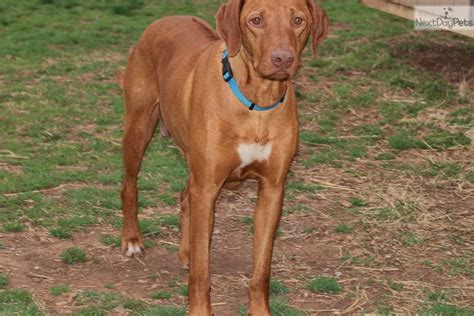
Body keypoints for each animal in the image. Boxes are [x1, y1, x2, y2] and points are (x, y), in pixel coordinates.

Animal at [118, 0, 328, 314]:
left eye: (298, 20)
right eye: (256, 20)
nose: (282, 58)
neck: (257, 100)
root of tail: (166, 19)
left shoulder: (272, 189)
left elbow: (261, 270)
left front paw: (260, 310)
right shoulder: (207, 188)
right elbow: (201, 274)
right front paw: (199, 310)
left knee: (185, 196)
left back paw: (187, 250)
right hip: (139, 125)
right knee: (129, 184)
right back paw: (132, 239)